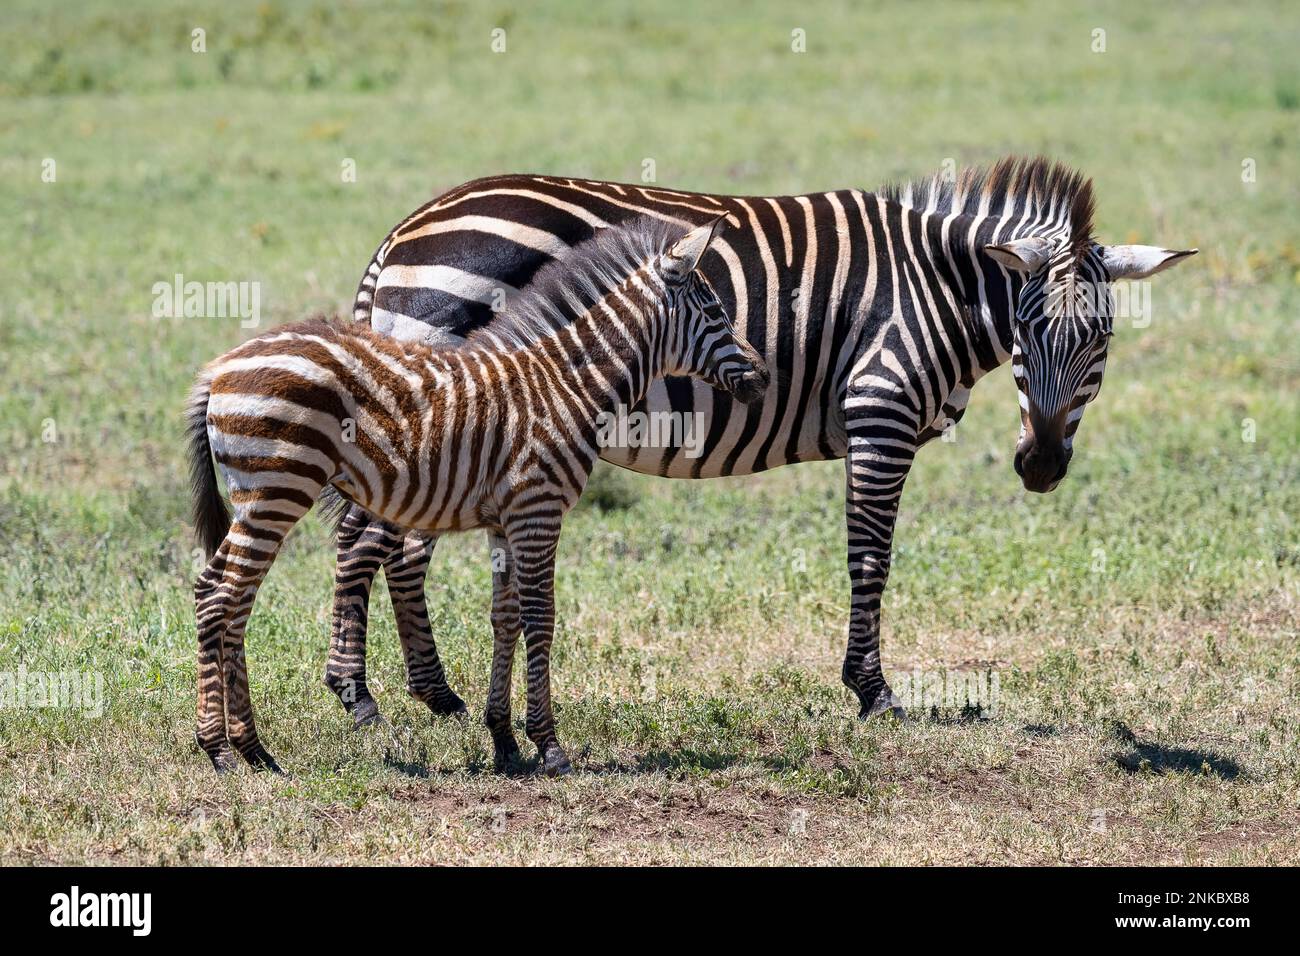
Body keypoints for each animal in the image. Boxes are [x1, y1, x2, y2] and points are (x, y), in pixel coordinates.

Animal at [184, 216, 768, 774]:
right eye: (715, 310)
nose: (763, 376)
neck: (564, 387)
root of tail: (219, 368)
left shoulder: (505, 521)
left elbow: (505, 619)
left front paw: (504, 740)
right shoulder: (538, 510)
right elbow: (541, 617)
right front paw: (549, 746)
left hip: (259, 498)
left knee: (228, 597)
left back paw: (252, 751)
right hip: (275, 491)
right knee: (219, 596)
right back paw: (221, 750)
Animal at [326, 156, 1196, 729]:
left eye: (1100, 342)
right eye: (1026, 330)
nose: (1041, 466)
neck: (939, 290)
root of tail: (406, 229)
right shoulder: (880, 411)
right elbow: (871, 558)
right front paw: (872, 691)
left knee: (390, 545)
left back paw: (429, 694)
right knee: (371, 542)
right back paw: (364, 694)